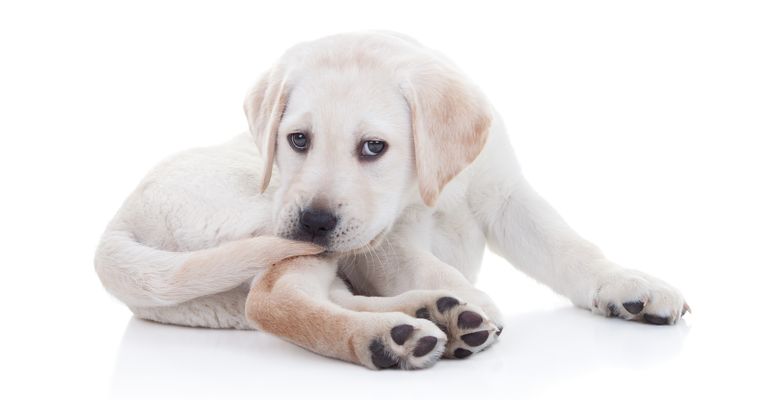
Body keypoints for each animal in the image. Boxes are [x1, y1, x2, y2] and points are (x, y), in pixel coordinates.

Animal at [96, 31, 688, 368]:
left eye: (374, 147)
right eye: (297, 140)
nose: (313, 222)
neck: (434, 189)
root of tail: (117, 225)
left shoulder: (505, 197)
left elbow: (569, 248)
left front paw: (629, 286)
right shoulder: (378, 242)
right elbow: (423, 261)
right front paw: (467, 295)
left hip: (219, 295)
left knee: (290, 301)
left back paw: (430, 318)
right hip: (266, 217)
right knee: (272, 299)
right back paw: (397, 336)